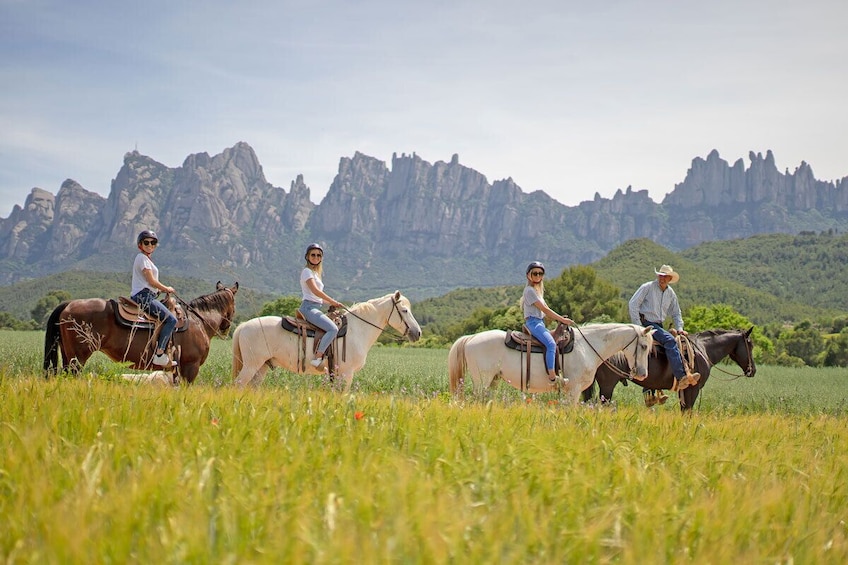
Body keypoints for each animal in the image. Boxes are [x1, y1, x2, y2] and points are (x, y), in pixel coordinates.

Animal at [44, 282, 238, 384]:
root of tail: (68, 304)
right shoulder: (191, 366)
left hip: (68, 355)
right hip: (78, 358)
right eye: (234, 306)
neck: (198, 321)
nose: (226, 328)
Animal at [232, 290, 420, 392]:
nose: (417, 333)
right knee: (238, 385)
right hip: (251, 366)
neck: (357, 330)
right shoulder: (346, 374)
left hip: (261, 367)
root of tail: (243, 326)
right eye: (404, 310)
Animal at [448, 322, 652, 400]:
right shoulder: (574, 389)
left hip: (493, 381)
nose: (643, 374)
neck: (587, 346)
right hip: (482, 381)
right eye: (643, 346)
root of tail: (471, 338)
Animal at [584, 326, 756, 410]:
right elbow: (688, 411)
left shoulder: (684, 391)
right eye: (750, 344)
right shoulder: (693, 389)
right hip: (607, 385)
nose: (753, 370)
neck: (703, 349)